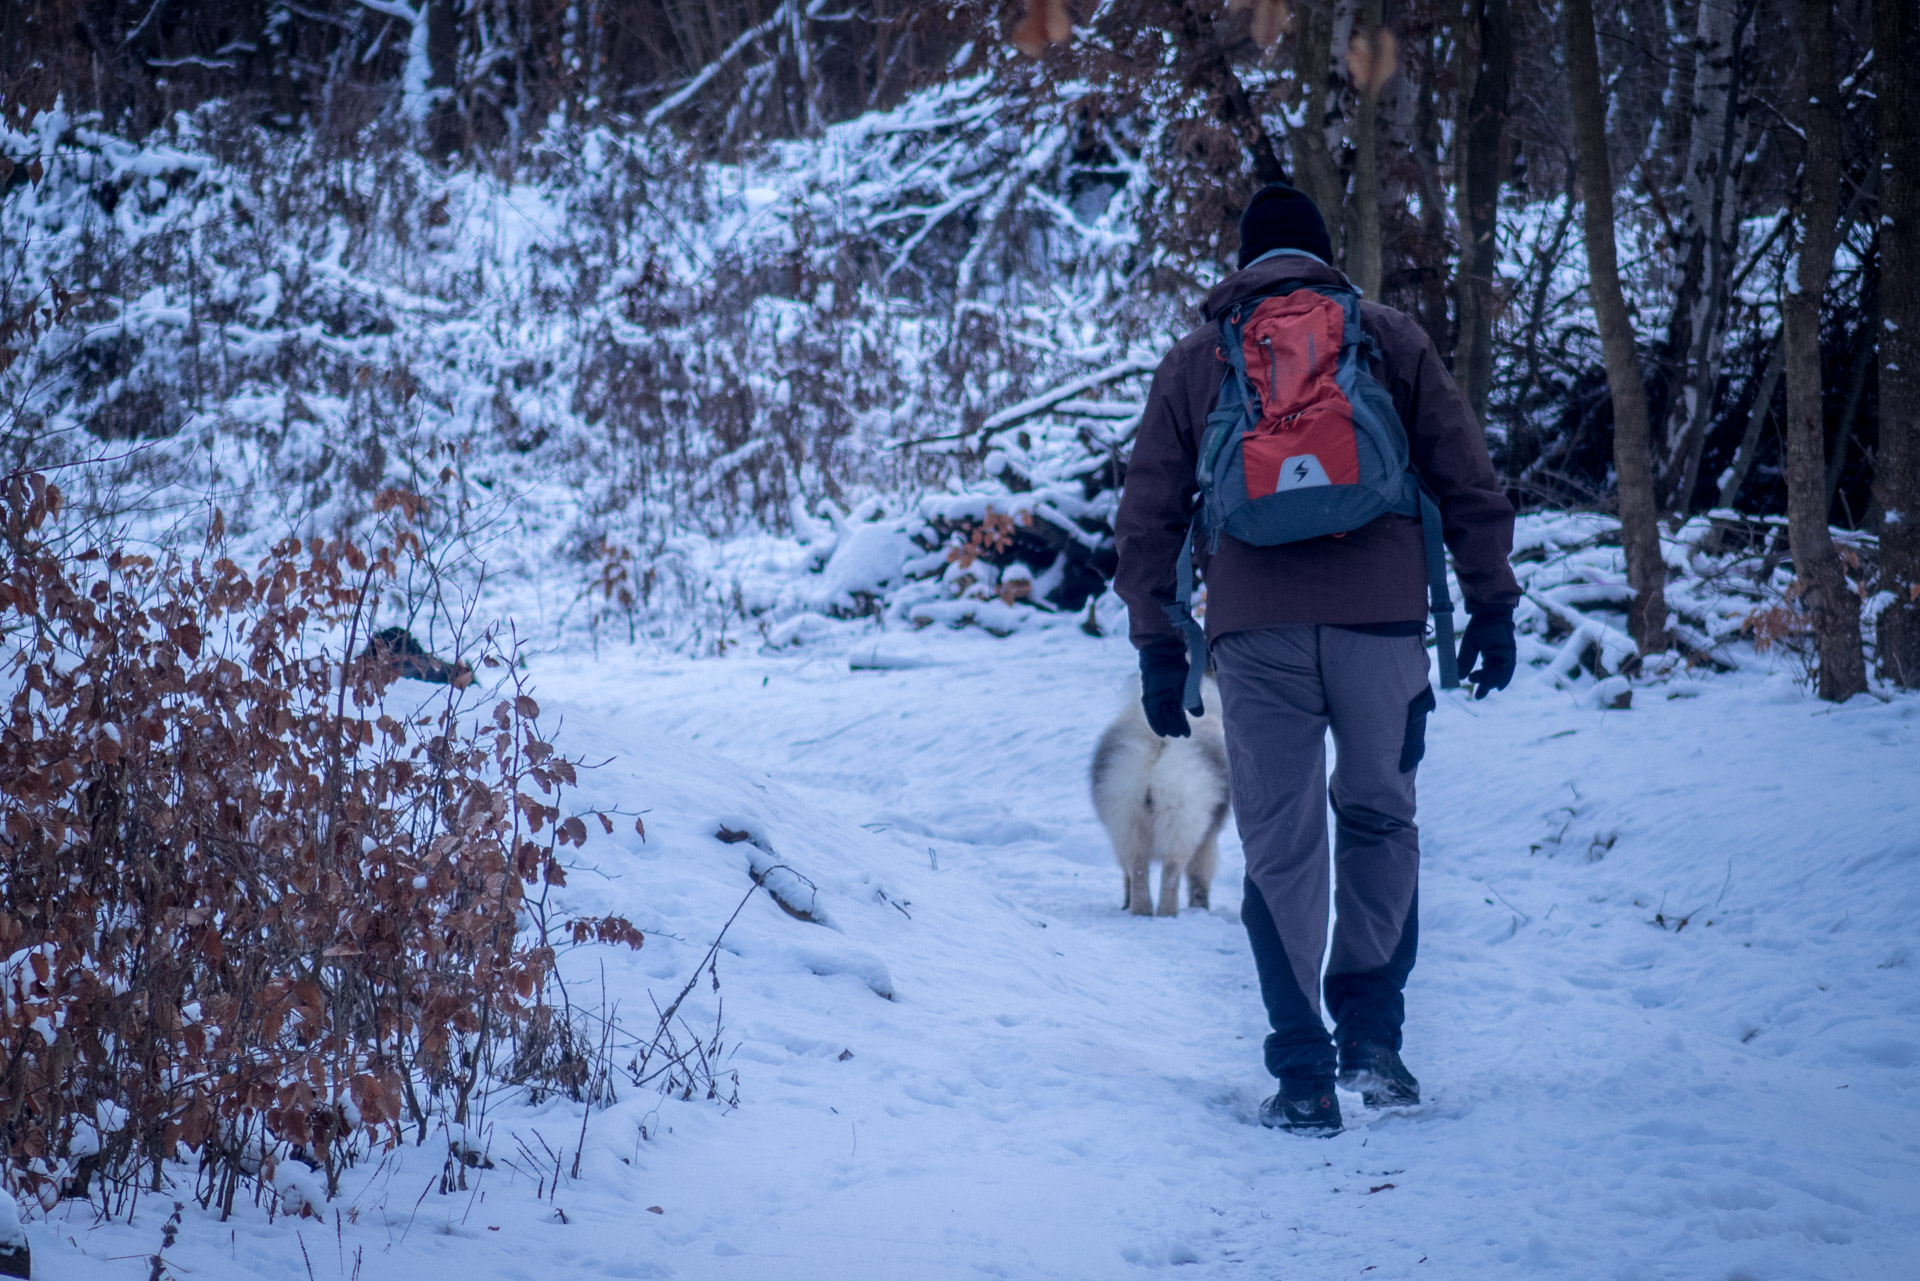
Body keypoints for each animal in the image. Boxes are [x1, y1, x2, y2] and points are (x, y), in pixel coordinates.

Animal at [1098, 676, 1228, 918]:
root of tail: (1156, 749)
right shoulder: (1207, 837)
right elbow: (1200, 874)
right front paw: (1200, 906)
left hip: (1126, 816)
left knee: (1137, 867)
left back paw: (1139, 910)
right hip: (1182, 819)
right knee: (1172, 870)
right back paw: (1168, 912)